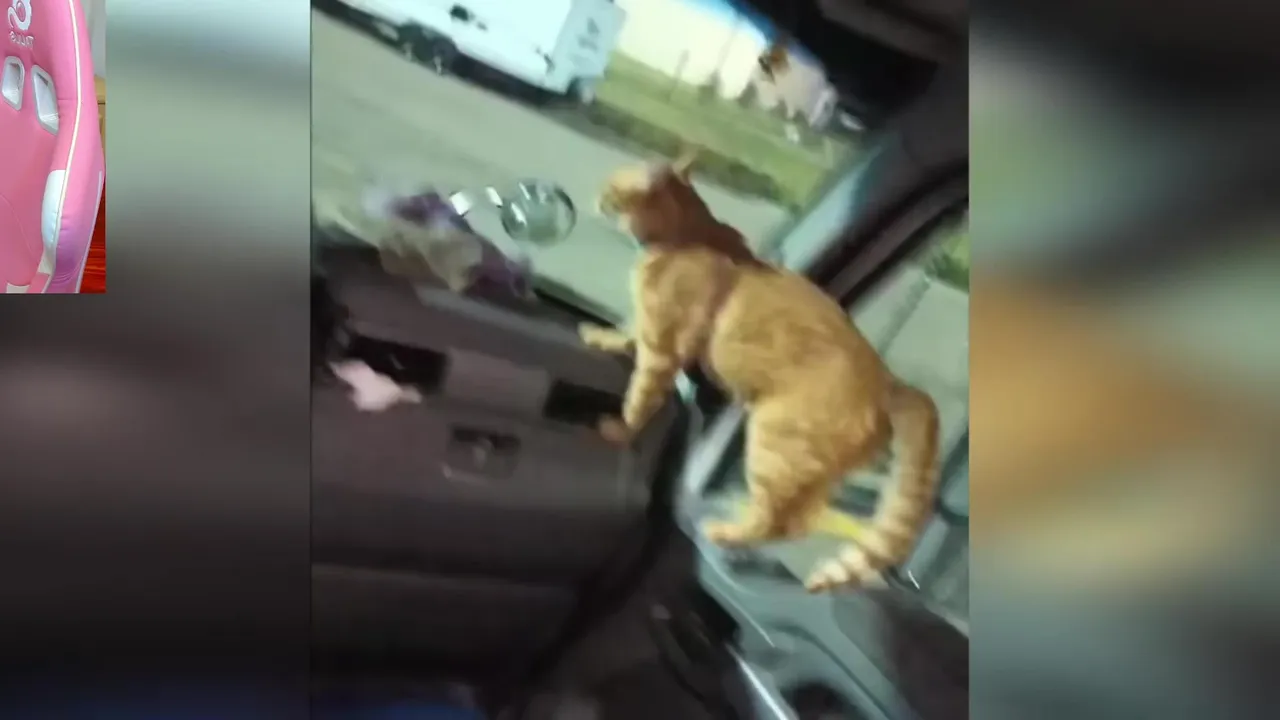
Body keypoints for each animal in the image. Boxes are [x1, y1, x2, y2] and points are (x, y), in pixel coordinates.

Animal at [584, 151, 941, 592]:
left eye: (610, 188)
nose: (595, 195)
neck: (689, 232)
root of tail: (890, 382)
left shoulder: (662, 348)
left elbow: (639, 398)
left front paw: (620, 430)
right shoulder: (651, 328)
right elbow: (626, 331)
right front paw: (602, 336)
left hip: (774, 446)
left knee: (777, 523)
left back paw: (725, 532)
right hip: (807, 470)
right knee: (801, 522)